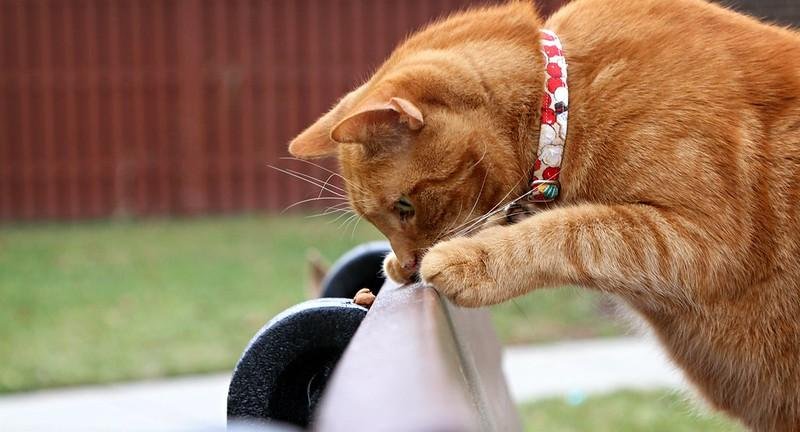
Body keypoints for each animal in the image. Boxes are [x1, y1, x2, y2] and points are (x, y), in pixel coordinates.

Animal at [290, 0, 800, 428]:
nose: (411, 264)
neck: (565, 100)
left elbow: (572, 230)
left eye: (404, 207)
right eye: (383, 220)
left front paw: (463, 260)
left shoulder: (705, 239)